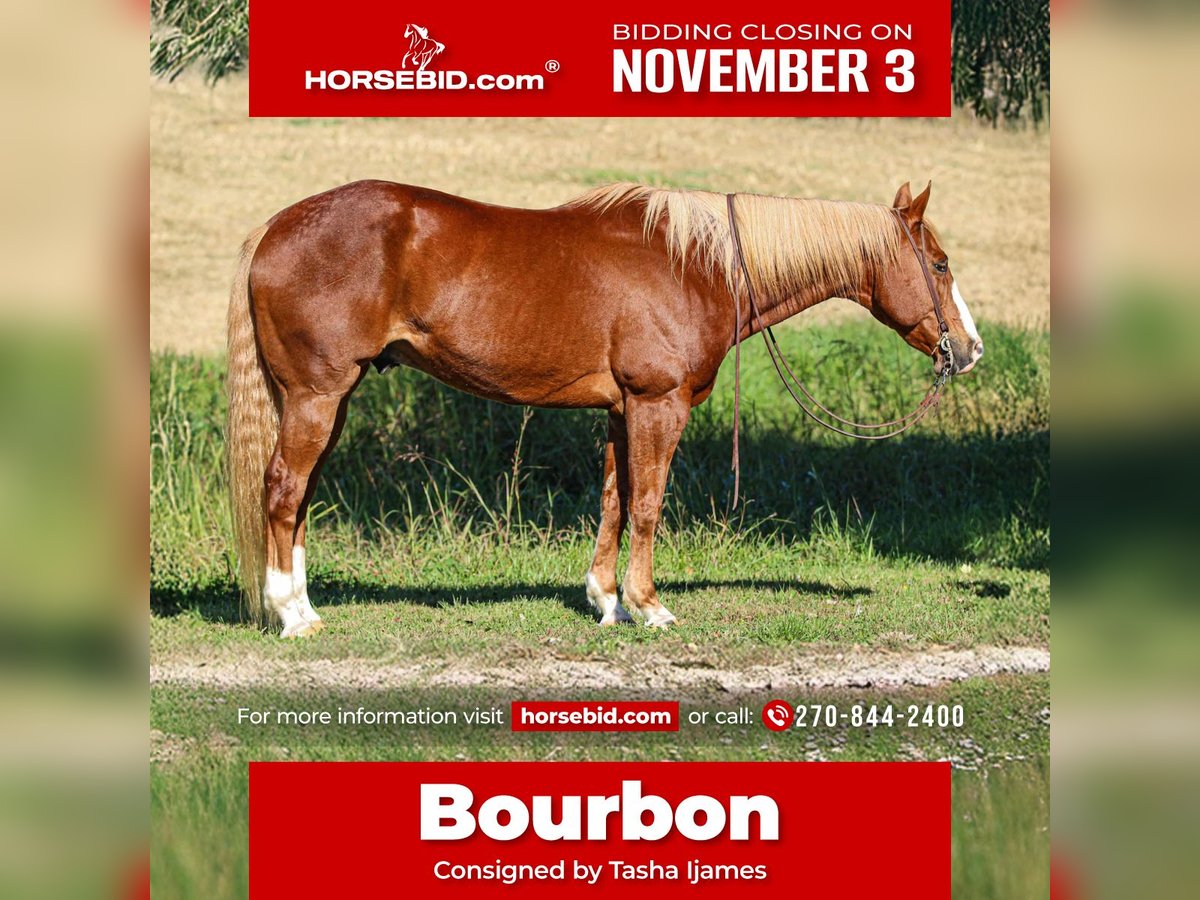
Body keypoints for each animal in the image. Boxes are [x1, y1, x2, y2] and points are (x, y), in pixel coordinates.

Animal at [226, 179, 983, 637]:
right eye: (940, 263)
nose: (970, 349)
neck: (693, 265)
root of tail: (275, 227)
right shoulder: (658, 406)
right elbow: (647, 503)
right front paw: (650, 607)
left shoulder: (623, 411)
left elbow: (615, 501)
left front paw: (606, 600)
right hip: (317, 396)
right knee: (283, 490)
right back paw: (291, 614)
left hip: (329, 401)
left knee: (300, 496)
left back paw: (302, 605)